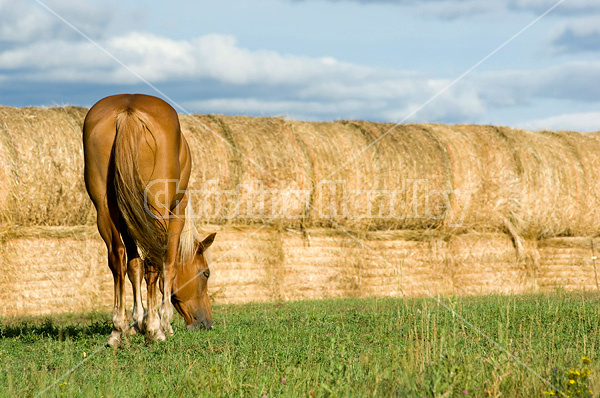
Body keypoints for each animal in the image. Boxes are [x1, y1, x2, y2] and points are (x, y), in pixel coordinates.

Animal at [83, 92, 216, 346]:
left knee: (117, 258)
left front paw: (136, 322)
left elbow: (134, 266)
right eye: (206, 273)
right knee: (155, 261)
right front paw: (161, 323)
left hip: (105, 208)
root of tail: (128, 110)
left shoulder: (129, 219)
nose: (207, 324)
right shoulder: (177, 212)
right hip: (157, 208)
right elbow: (168, 266)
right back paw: (156, 329)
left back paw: (117, 329)